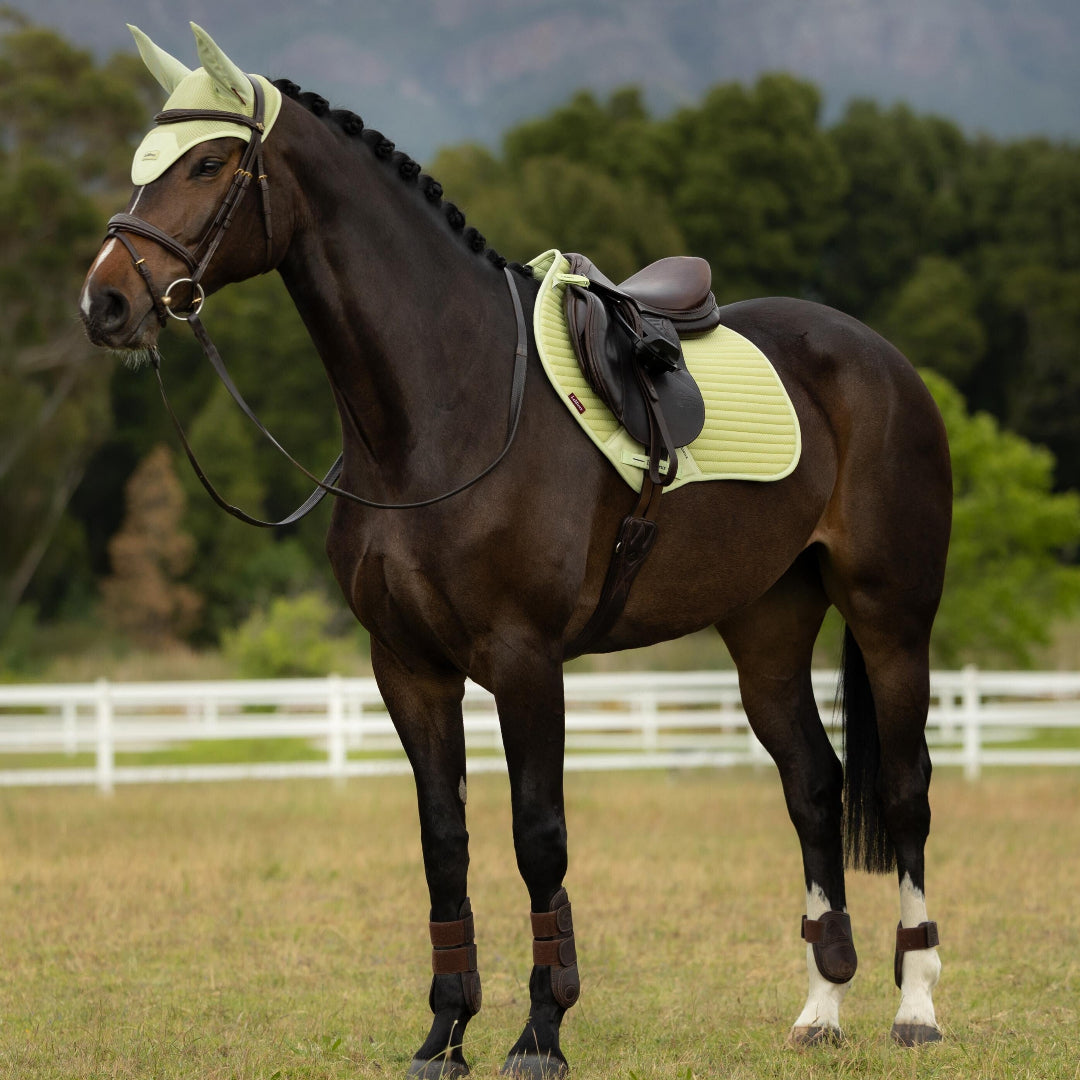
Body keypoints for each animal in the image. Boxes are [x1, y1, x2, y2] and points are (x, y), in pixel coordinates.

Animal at [80, 24, 952, 1079]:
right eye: (143, 163)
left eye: (208, 164)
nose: (105, 303)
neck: (440, 409)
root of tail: (881, 359)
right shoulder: (408, 668)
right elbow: (443, 842)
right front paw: (444, 1032)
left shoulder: (526, 661)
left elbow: (539, 837)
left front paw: (542, 1030)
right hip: (768, 631)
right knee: (814, 789)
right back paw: (821, 1008)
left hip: (891, 620)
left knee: (903, 795)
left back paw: (916, 1007)